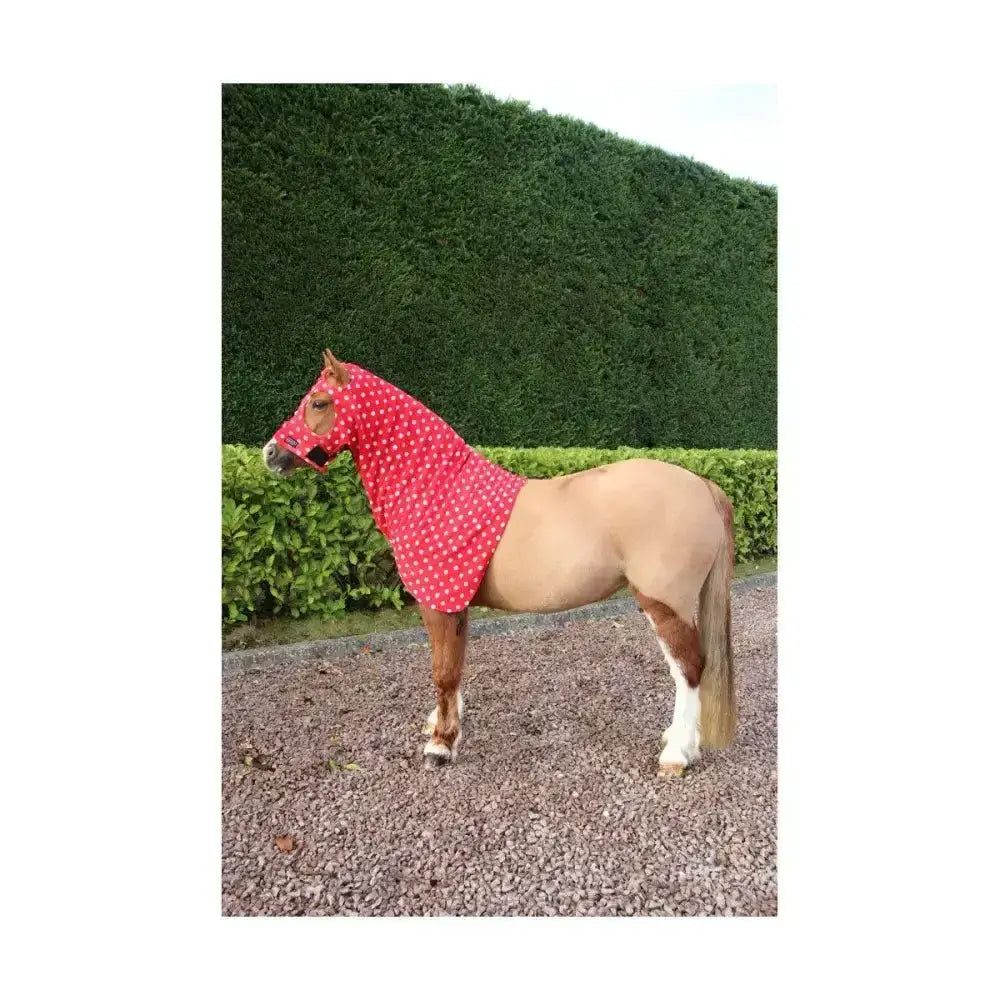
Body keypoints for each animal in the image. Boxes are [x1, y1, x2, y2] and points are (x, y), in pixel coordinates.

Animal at [262, 349, 736, 777]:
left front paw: (440, 746)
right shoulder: (457, 603)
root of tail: (702, 484)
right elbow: (456, 665)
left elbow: (444, 671)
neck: (439, 490)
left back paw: (676, 755)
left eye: (319, 402)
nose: (269, 454)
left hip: (663, 601)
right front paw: (443, 725)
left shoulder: (439, 602)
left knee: (689, 668)